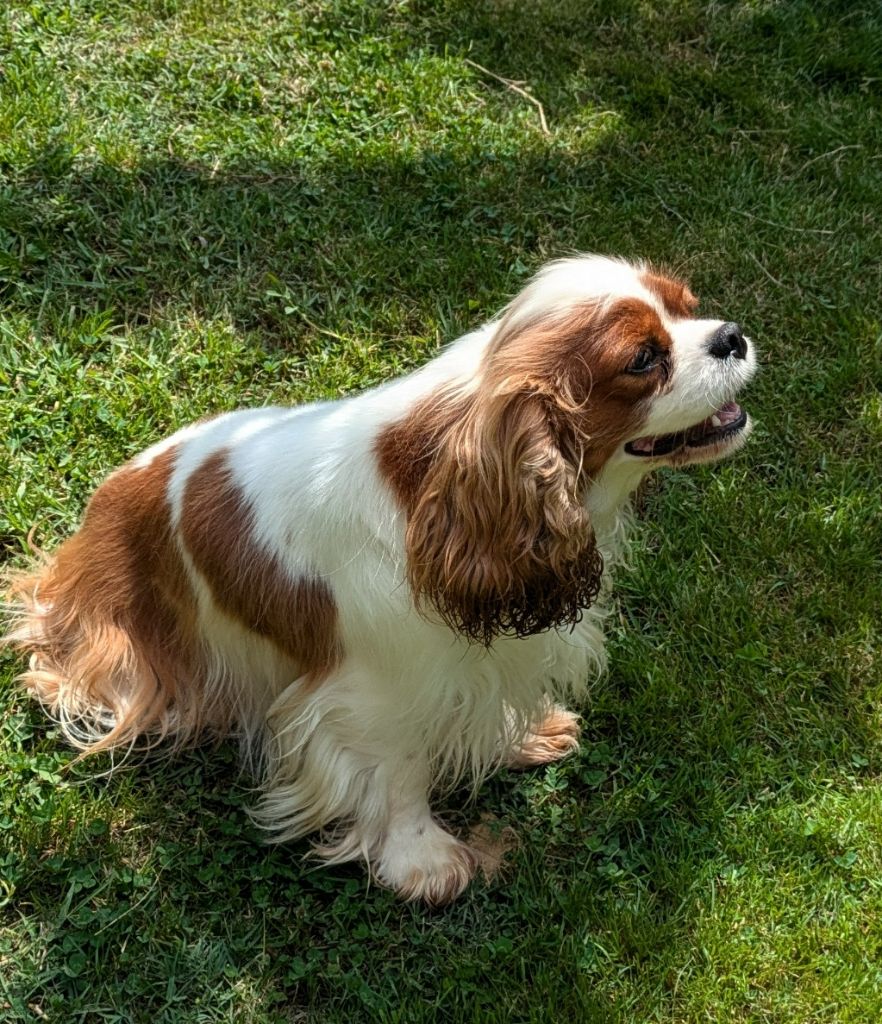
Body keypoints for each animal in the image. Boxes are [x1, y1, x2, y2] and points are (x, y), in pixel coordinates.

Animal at [1, 256, 758, 905]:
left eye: (687, 305)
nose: (731, 336)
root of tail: (95, 514)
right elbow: (399, 774)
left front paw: (520, 736)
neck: (446, 487)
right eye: (643, 359)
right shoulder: (374, 693)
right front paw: (422, 861)